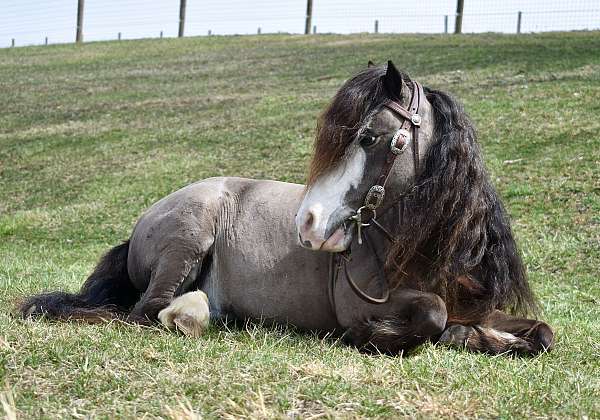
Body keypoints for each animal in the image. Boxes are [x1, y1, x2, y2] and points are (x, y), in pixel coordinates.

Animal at [19, 60, 552, 356]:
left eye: (369, 137)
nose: (307, 223)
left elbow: (543, 334)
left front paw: (485, 339)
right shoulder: (366, 304)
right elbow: (433, 315)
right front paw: (380, 337)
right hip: (187, 240)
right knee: (145, 311)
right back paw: (188, 316)